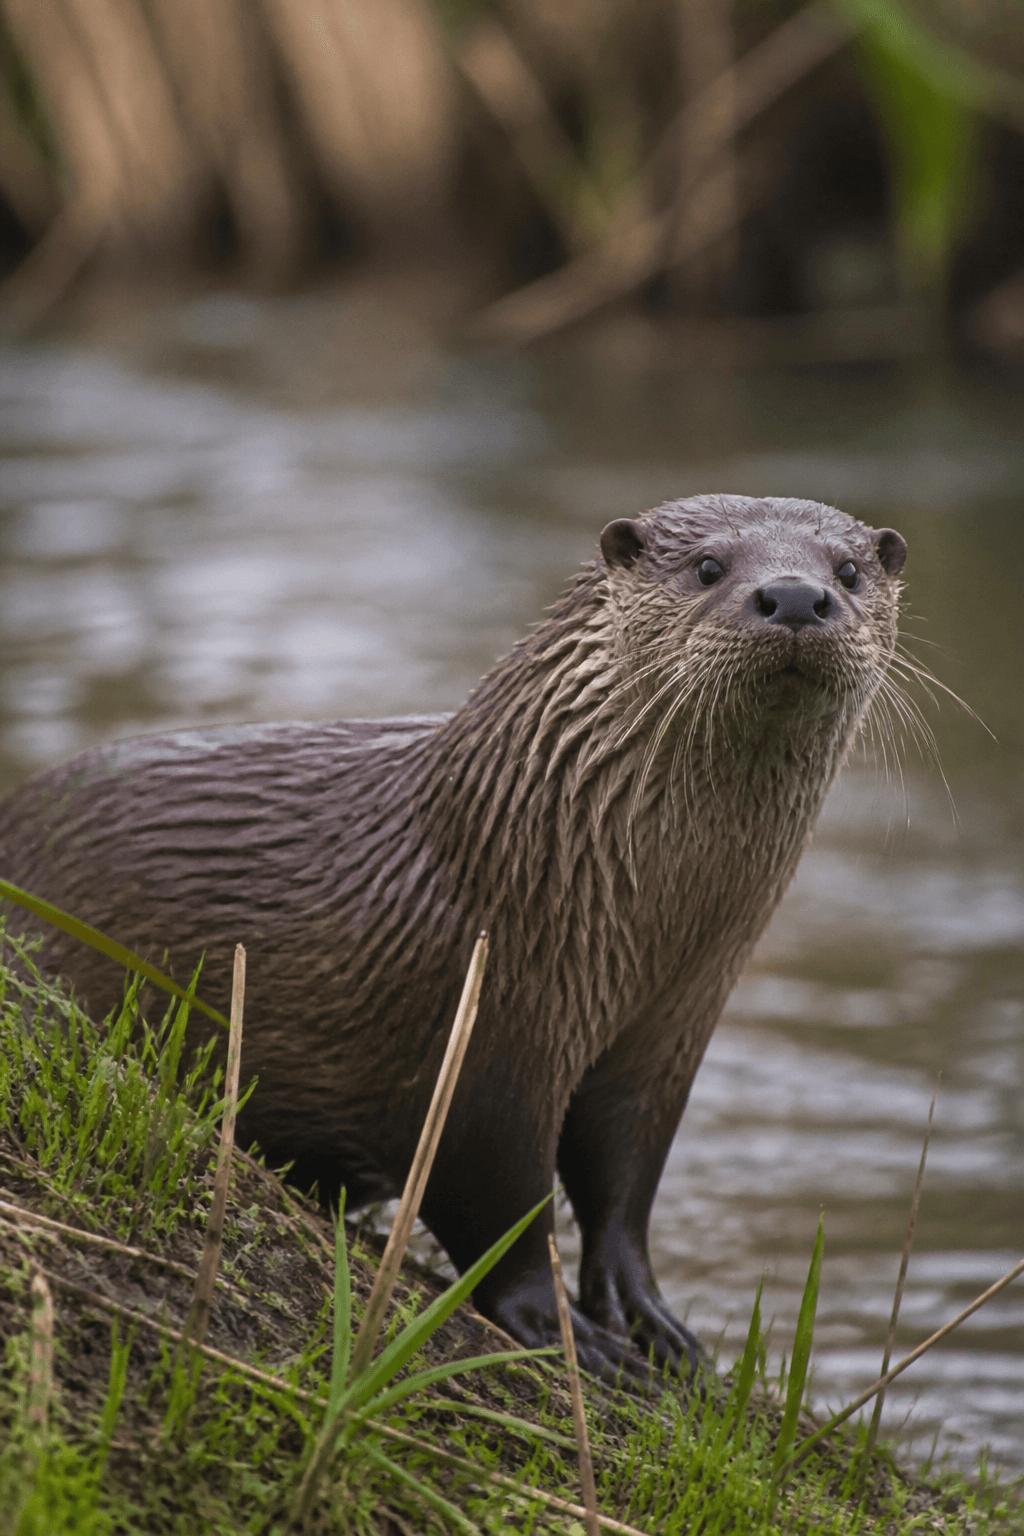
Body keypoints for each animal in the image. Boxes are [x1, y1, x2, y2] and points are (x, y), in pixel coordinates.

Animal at [0, 495, 907, 1380]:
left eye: (849, 571)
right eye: (709, 566)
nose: (794, 595)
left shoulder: (667, 1037)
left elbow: (623, 1188)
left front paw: (653, 1321)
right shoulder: (479, 1039)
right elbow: (497, 1205)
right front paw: (566, 1332)